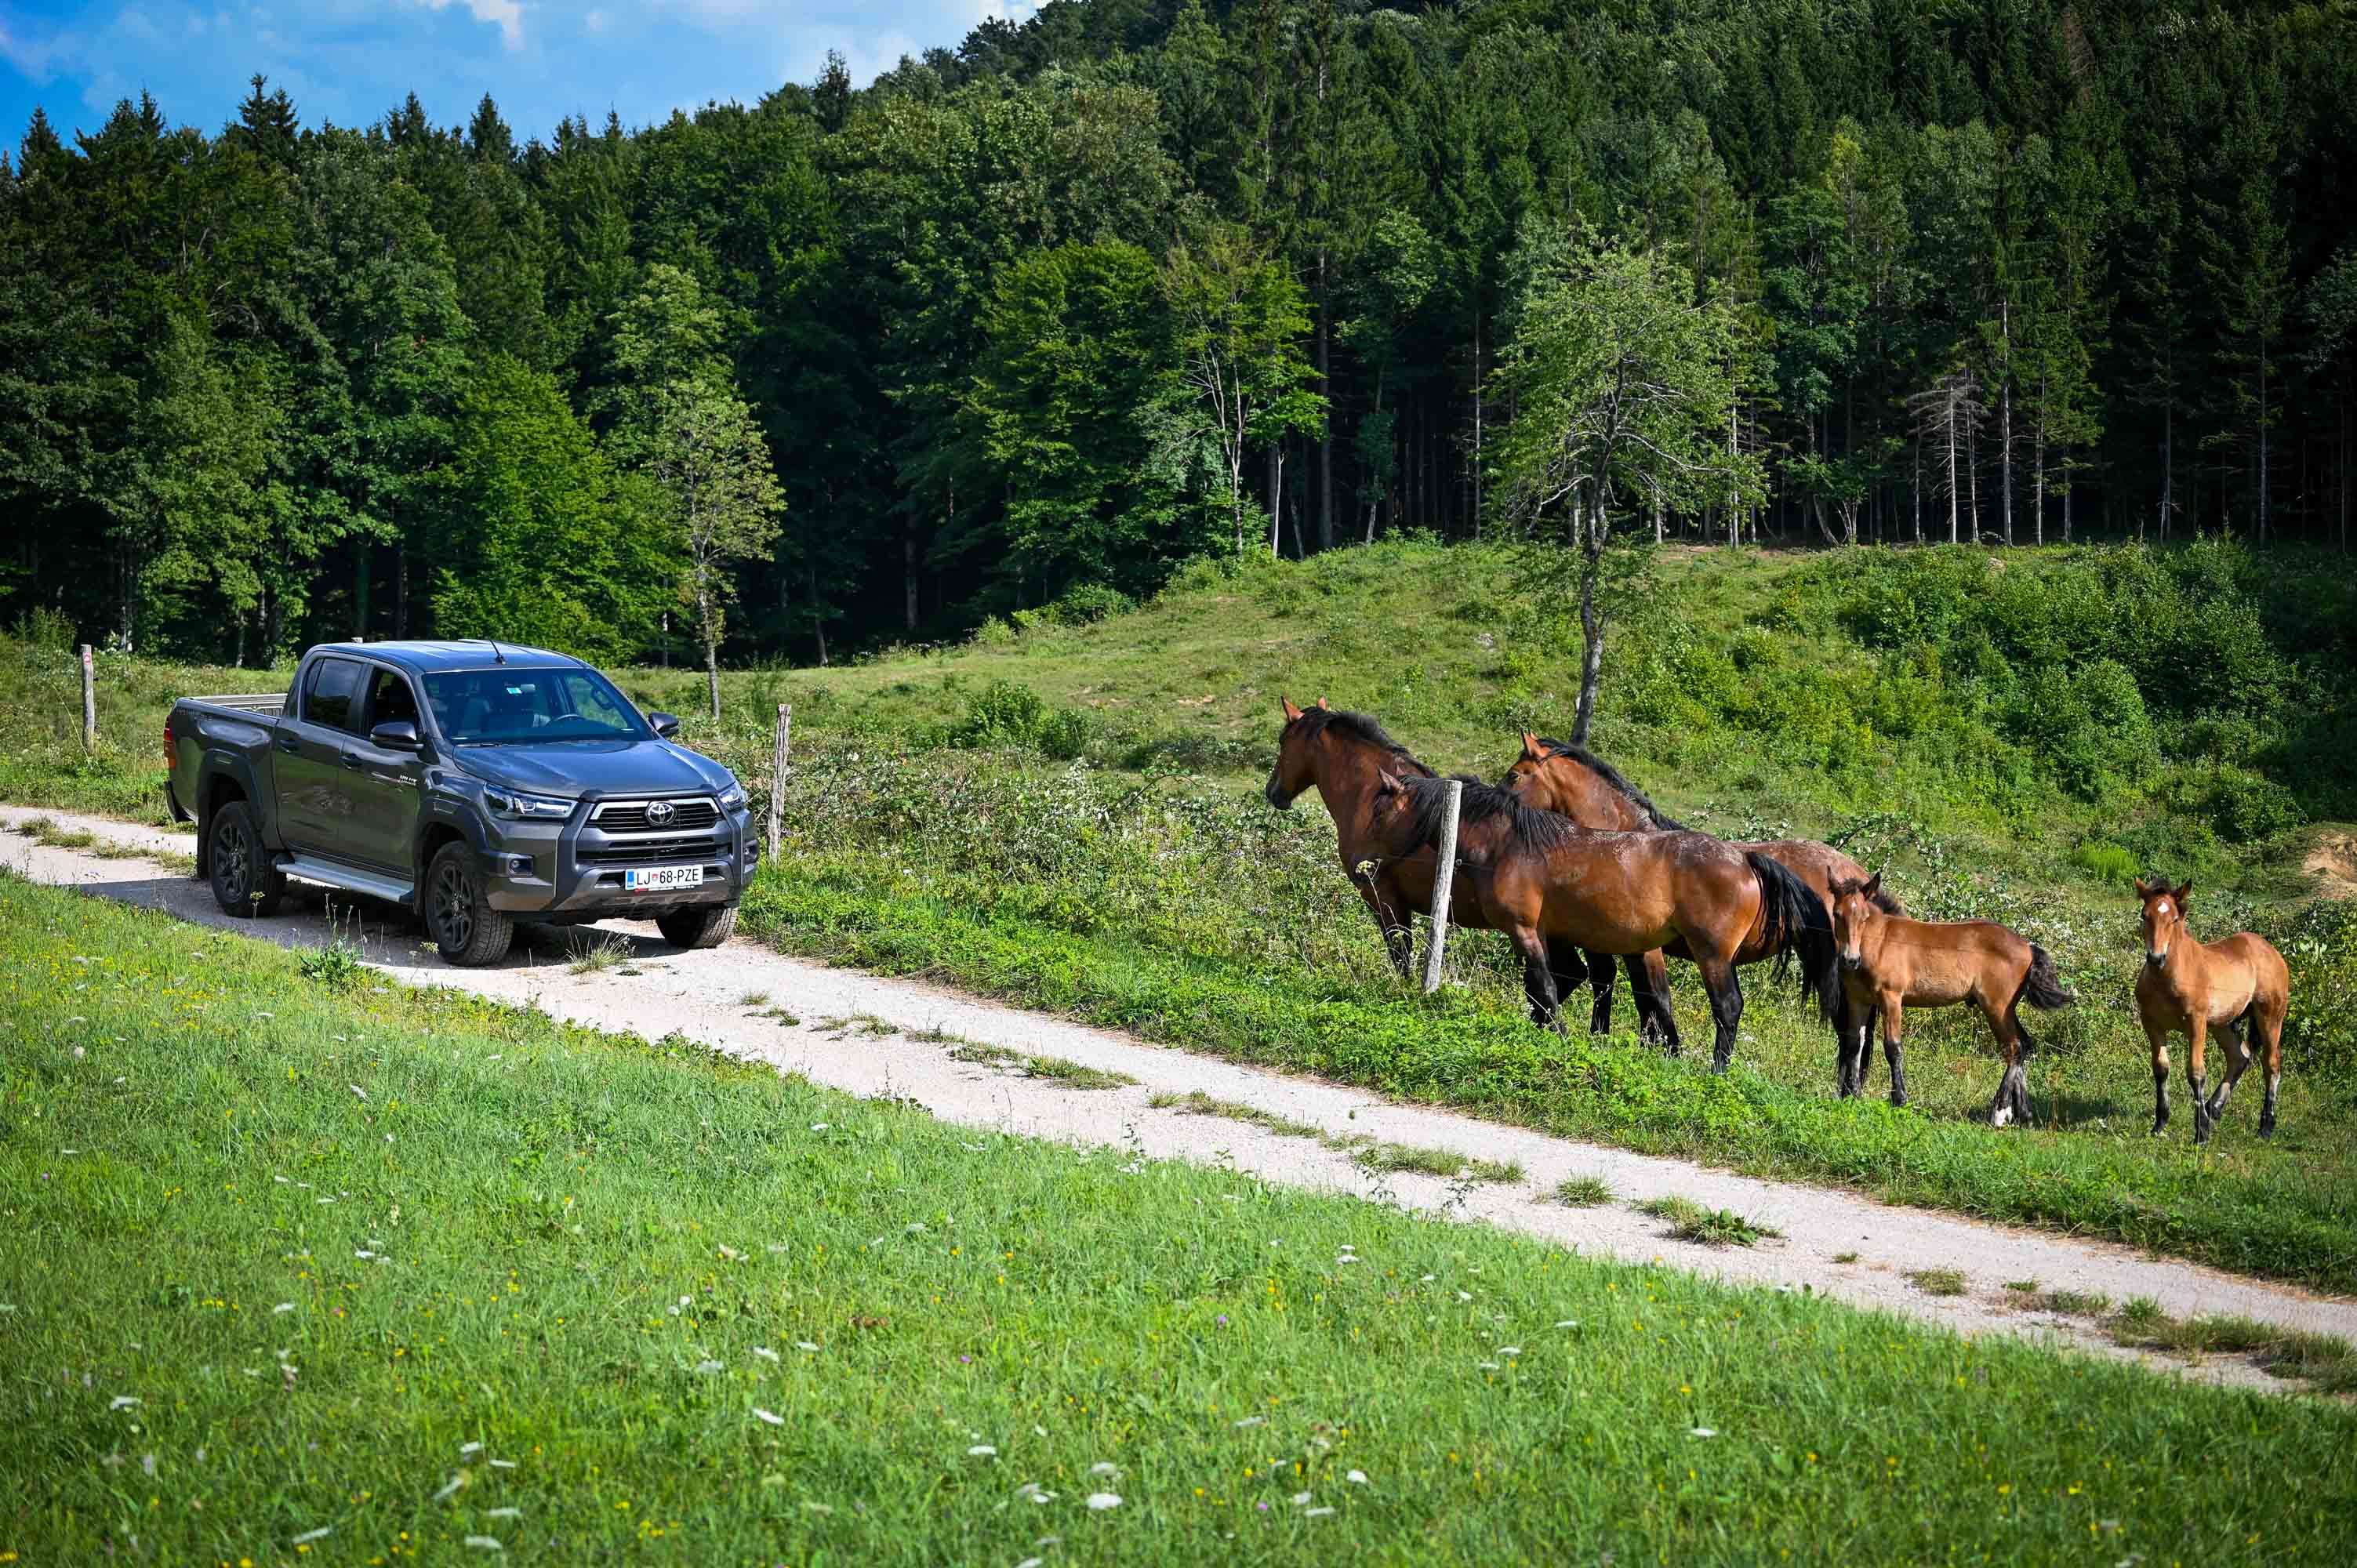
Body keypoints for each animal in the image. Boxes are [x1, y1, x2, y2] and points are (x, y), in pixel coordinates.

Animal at [1363, 770, 1838, 1071]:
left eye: (1379, 812)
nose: (1365, 865)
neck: (1511, 845)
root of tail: (1744, 859)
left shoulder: (1524, 931)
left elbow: (1546, 987)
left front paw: (1559, 1036)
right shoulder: (1550, 934)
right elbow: (1550, 988)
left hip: (1713, 957)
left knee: (1727, 1008)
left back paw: (1717, 1070)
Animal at [1499, 731, 1906, 1066]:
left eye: (1514, 775)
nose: (1496, 806)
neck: (1626, 842)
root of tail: (1860, 877)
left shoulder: (1643, 949)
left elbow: (1645, 995)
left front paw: (1654, 1048)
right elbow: (1634, 994)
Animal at [1825, 873, 2073, 1124]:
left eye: (1864, 917)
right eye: (1837, 914)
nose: (1850, 960)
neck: (1880, 943)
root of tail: (2028, 946)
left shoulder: (1891, 998)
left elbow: (1893, 1048)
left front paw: (1900, 1100)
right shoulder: (1858, 1000)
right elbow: (1854, 1044)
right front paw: (1853, 1095)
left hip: (1997, 1007)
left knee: (2014, 1047)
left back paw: (1999, 1112)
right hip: (2007, 1009)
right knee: (2024, 1044)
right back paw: (2024, 1113)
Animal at [2132, 878, 2291, 1144]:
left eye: (2174, 919)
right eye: (2145, 916)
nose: (2156, 958)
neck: (2168, 979)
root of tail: (2270, 950)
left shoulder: (2196, 1022)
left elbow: (2196, 1073)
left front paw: (2201, 1133)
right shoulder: (2152, 1023)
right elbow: (2161, 1068)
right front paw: (2160, 1124)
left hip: (2270, 1016)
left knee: (2271, 1064)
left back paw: (2266, 1126)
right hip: (2222, 1024)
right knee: (2240, 1057)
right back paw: (2213, 1107)